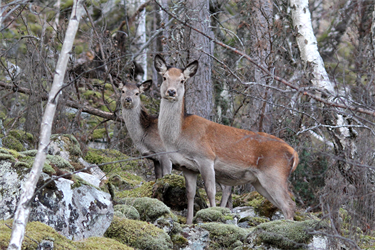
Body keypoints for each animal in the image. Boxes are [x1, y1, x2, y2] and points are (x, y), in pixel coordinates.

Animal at [153, 55, 300, 225]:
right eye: (164, 77)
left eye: (182, 80)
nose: (171, 91)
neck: (178, 137)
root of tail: (294, 154)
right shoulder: (187, 167)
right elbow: (190, 193)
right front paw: (189, 222)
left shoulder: (206, 158)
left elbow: (210, 191)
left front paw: (212, 216)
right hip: (259, 182)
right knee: (283, 205)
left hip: (275, 174)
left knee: (289, 205)